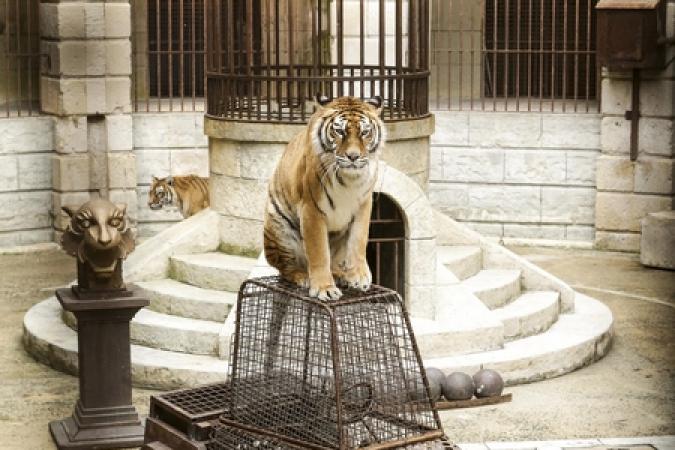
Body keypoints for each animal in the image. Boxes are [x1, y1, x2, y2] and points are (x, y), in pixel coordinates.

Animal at [264, 94, 386, 298]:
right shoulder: (311, 209)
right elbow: (318, 251)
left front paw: (359, 277)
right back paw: (303, 277)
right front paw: (324, 289)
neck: (350, 178)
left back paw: (340, 275)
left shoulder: (364, 204)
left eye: (365, 132)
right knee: (285, 268)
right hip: (279, 226)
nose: (353, 157)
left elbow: (358, 240)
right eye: (340, 131)